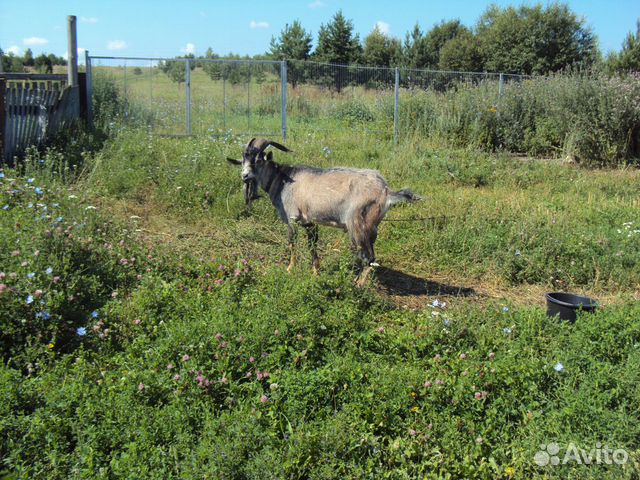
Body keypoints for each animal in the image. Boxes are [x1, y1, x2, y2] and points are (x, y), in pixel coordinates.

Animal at [226, 137, 420, 284]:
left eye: (258, 160)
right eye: (243, 161)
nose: (244, 176)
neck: (282, 180)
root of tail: (386, 191)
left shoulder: (292, 218)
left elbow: (292, 243)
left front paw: (290, 268)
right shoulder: (309, 222)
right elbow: (312, 245)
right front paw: (316, 271)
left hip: (358, 224)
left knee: (369, 257)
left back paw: (357, 285)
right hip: (372, 227)